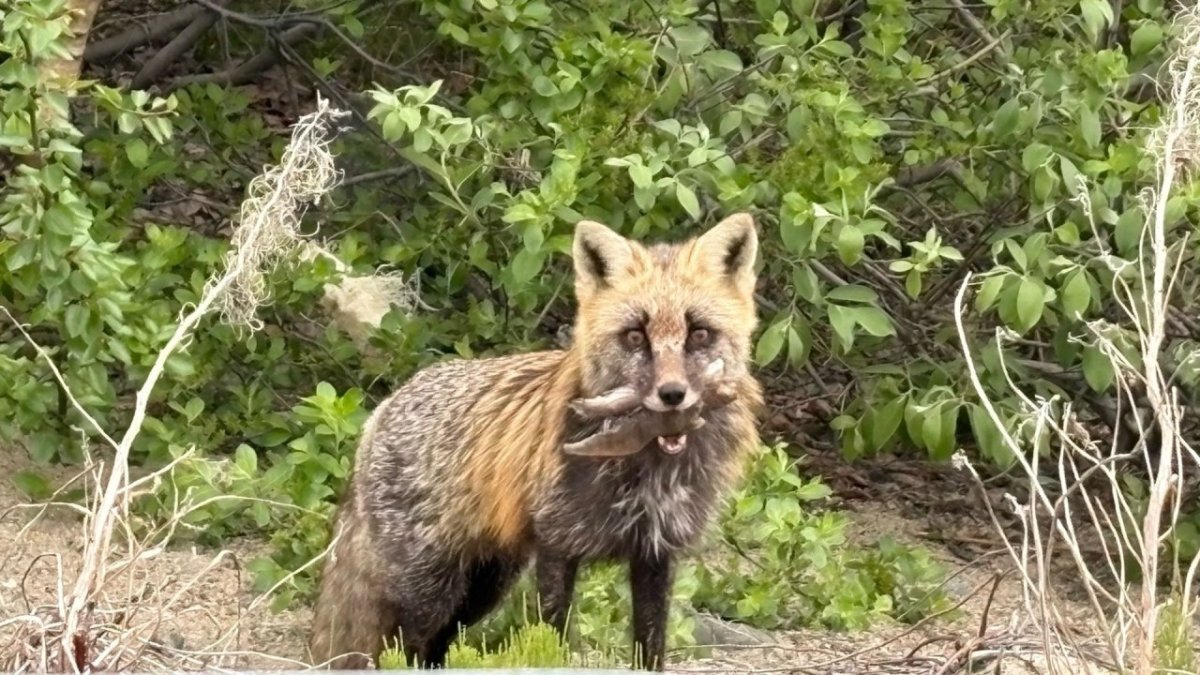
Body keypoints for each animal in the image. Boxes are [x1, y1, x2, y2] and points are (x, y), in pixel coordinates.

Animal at [307, 212, 764, 671]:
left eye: (699, 334)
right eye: (636, 337)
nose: (672, 395)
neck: (646, 473)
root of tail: (383, 407)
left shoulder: (655, 552)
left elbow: (650, 649)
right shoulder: (557, 544)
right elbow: (551, 636)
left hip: (484, 586)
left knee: (437, 647)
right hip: (431, 590)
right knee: (402, 649)